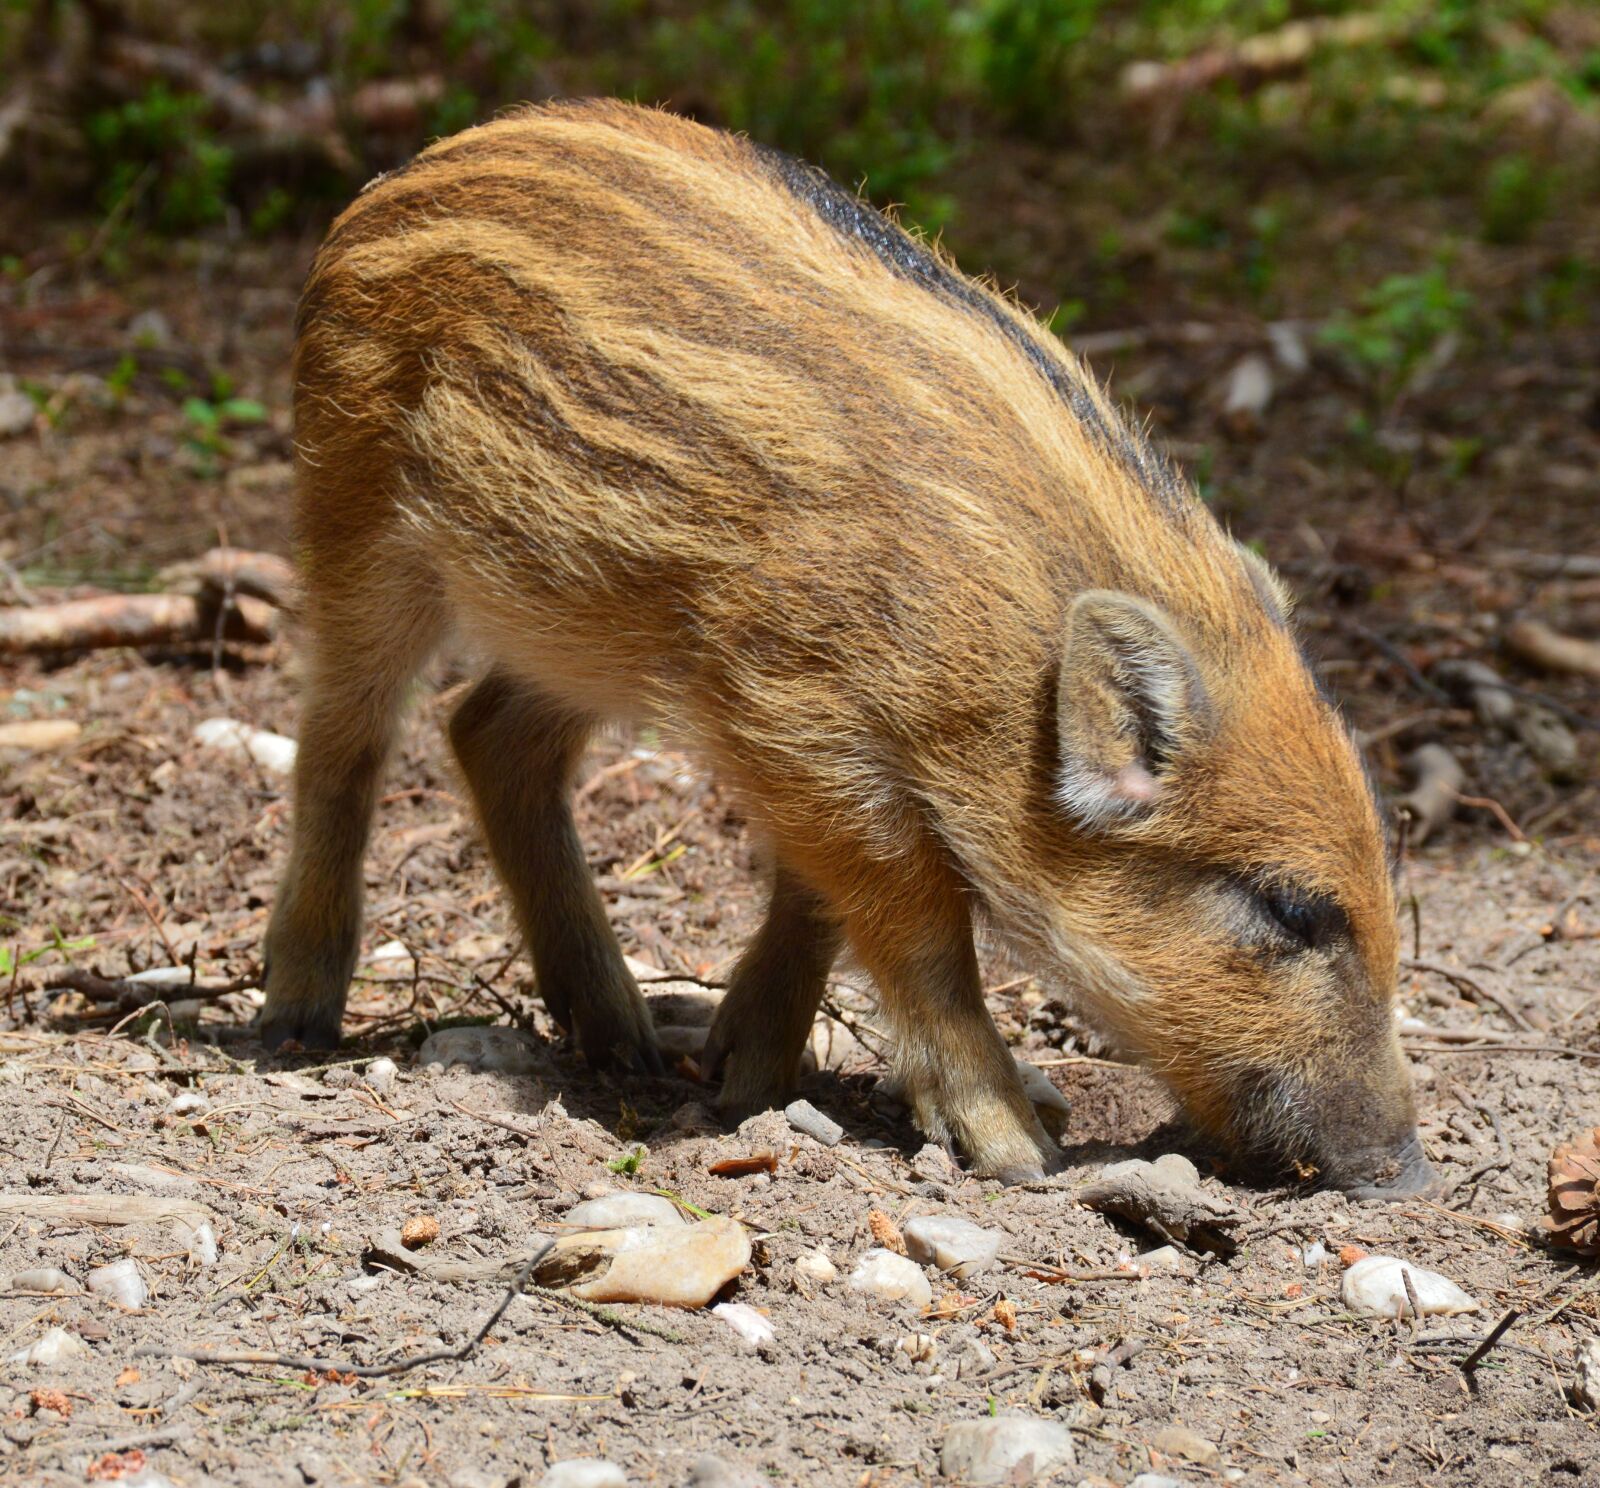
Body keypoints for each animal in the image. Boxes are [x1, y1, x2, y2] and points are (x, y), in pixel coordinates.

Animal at [259, 99, 1433, 1197]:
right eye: (1289, 908)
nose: (1407, 1170)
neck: (998, 648)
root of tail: (402, 176)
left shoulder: (797, 747)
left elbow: (813, 899)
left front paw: (747, 1080)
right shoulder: (798, 716)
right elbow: (917, 921)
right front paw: (1019, 1155)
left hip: (576, 615)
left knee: (489, 734)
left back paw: (626, 1039)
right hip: (358, 510)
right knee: (343, 733)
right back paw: (297, 1020)